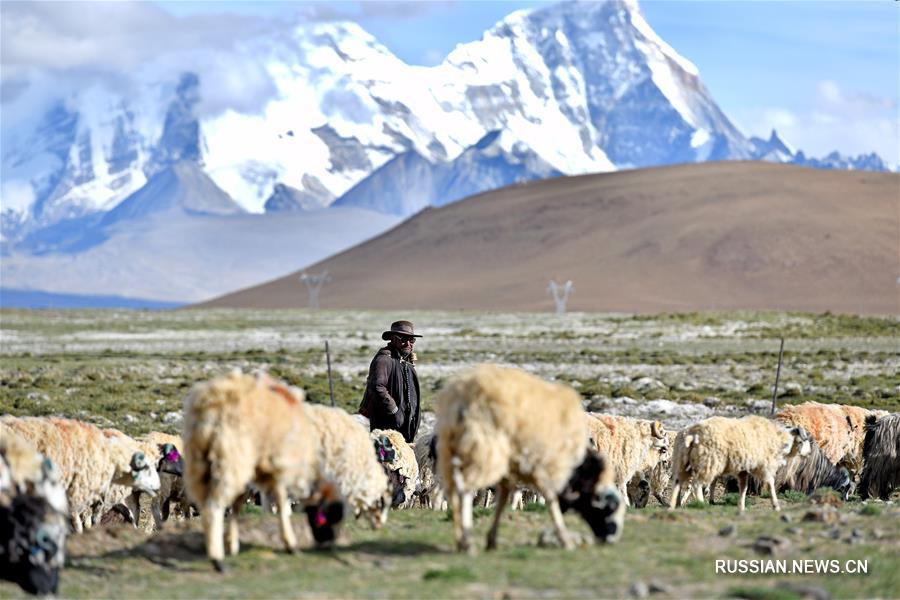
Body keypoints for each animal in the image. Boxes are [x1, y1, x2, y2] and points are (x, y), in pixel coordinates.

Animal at [185, 370, 340, 572]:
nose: (329, 542)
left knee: (205, 504)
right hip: (231, 457)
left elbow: (237, 504)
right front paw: (290, 544)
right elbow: (282, 503)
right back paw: (217, 560)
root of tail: (213, 402)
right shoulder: (280, 467)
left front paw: (232, 543)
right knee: (214, 507)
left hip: (200, 460)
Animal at [438, 360, 624, 552]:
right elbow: (550, 498)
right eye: (611, 509)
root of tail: (461, 397)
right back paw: (467, 541)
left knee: (453, 491)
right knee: (465, 490)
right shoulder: (545, 466)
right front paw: (564, 538)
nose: (610, 539)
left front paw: (492, 539)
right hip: (485, 449)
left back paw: (460, 537)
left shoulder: (513, 469)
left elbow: (504, 499)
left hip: (448, 449)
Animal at [668, 418, 808, 510]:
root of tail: (691, 434)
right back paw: (701, 504)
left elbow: (743, 487)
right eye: (801, 441)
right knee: (696, 484)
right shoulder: (764, 465)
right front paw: (775, 505)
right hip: (709, 461)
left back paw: (674, 505)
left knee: (677, 483)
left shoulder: (744, 470)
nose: (808, 454)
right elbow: (770, 484)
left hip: (682, 462)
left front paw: (741, 506)